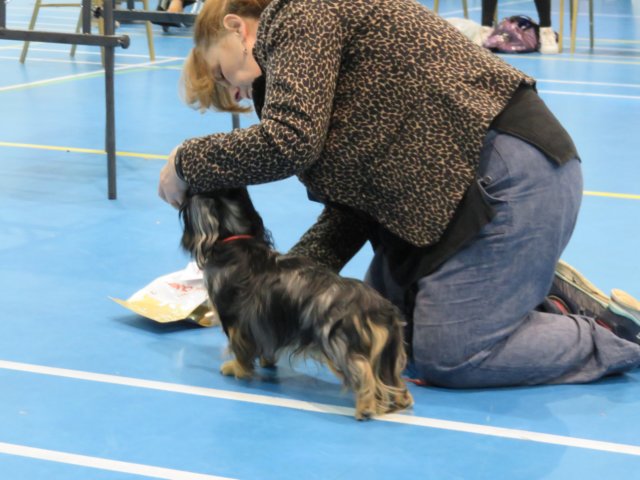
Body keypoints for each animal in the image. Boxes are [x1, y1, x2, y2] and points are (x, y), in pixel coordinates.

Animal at [180, 188, 413, 420]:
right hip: (388, 354)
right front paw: (265, 362)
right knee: (393, 379)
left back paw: (364, 407)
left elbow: (240, 352)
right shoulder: (264, 324)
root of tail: (382, 309)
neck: (236, 239)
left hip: (338, 342)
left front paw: (235, 369)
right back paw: (399, 400)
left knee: (362, 369)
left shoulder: (235, 322)